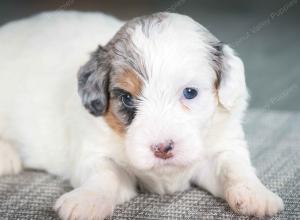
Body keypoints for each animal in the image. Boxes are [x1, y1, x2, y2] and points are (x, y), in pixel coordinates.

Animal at [0, 11, 284, 219]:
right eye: (127, 98)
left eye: (190, 93)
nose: (162, 148)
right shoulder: (93, 151)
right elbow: (104, 173)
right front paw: (86, 201)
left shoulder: (223, 145)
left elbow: (233, 167)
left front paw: (256, 194)